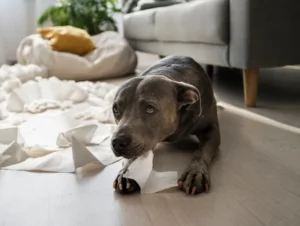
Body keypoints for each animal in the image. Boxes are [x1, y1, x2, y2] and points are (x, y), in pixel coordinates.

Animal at [110, 55, 220, 195]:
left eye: (149, 109)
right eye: (115, 109)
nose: (118, 142)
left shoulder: (211, 129)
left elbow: (202, 151)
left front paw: (196, 172)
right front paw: (128, 171)